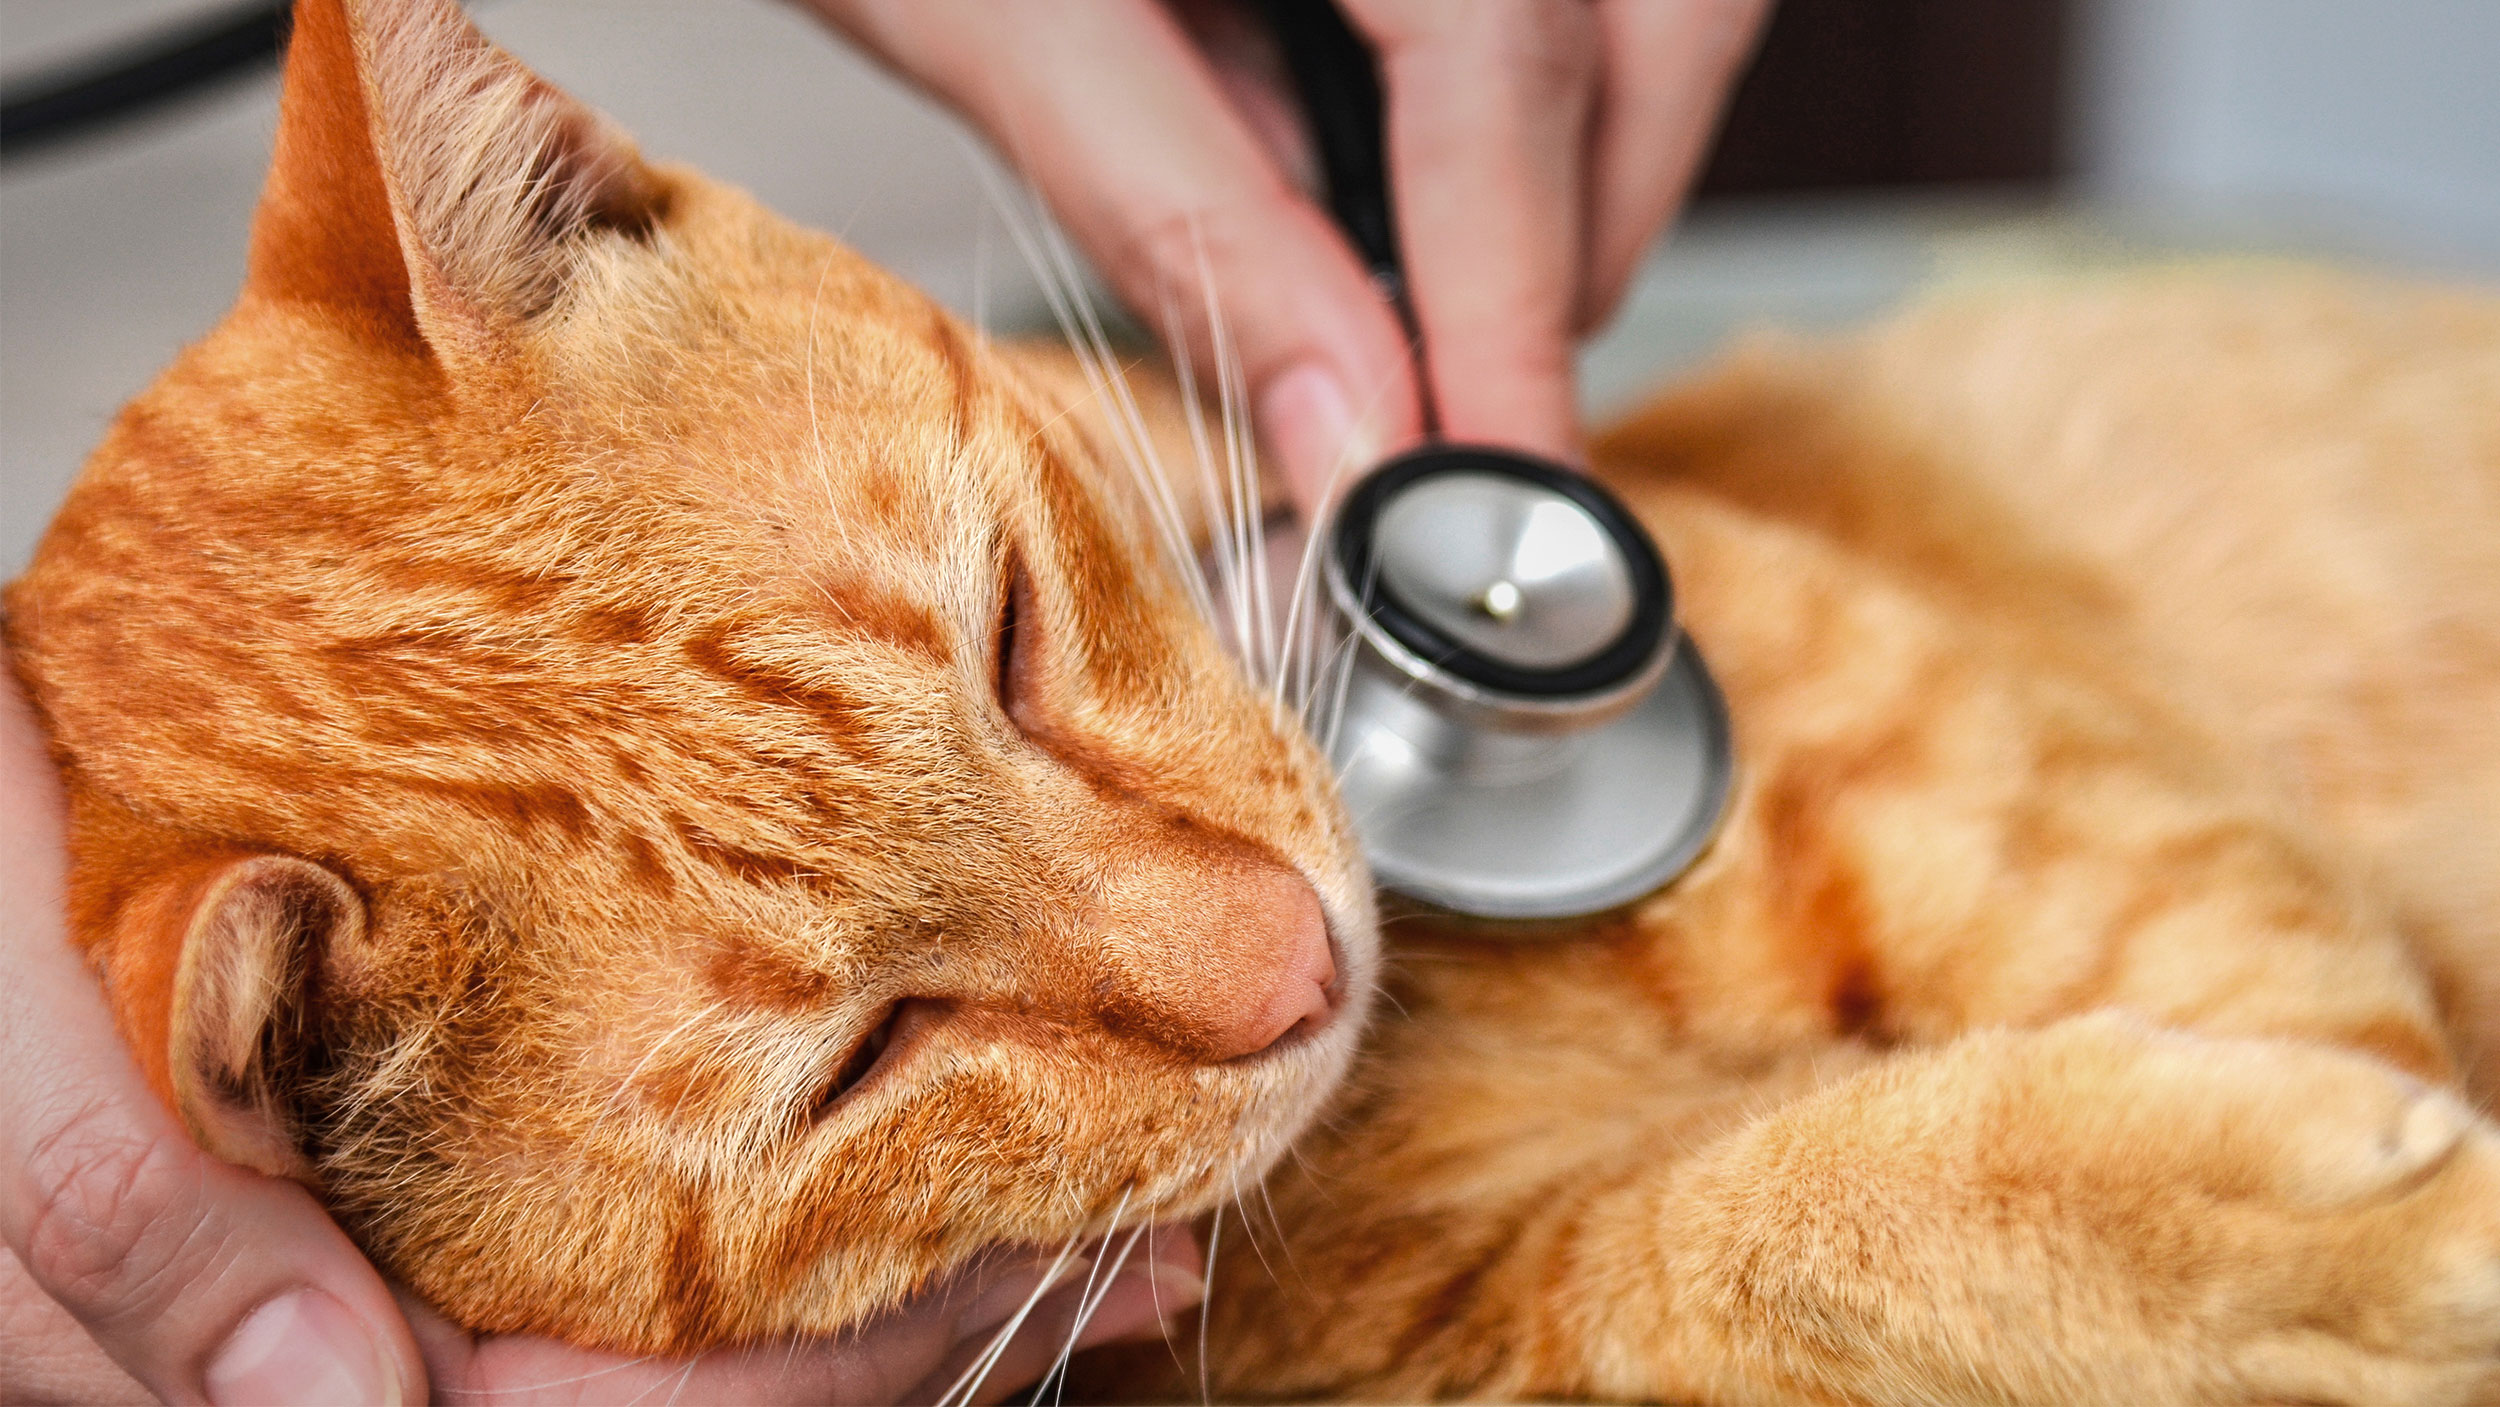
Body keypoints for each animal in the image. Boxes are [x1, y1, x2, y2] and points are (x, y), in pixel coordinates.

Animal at [9, 0, 2490, 1399]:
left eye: (1010, 630)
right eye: (864, 1057)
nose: (1304, 959)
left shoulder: (1997, 778)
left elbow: (2243, 972)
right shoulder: (1487, 1338)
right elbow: (1778, 1237)